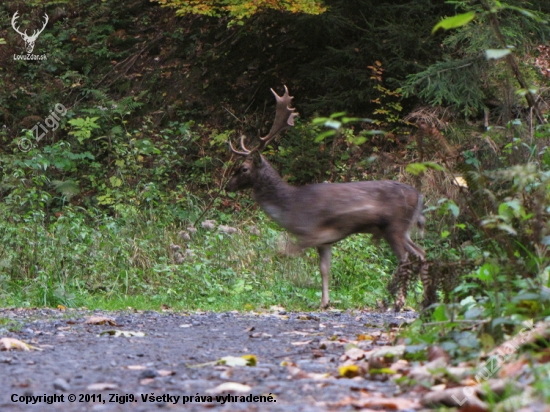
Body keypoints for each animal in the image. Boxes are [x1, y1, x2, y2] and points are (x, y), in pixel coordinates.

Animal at [226, 85, 430, 308]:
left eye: (244, 169)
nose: (228, 186)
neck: (289, 207)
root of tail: (420, 196)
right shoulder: (325, 241)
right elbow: (324, 269)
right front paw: (324, 302)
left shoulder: (309, 232)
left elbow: (283, 253)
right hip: (402, 230)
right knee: (421, 253)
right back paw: (425, 298)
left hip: (394, 226)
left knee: (406, 259)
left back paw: (400, 301)